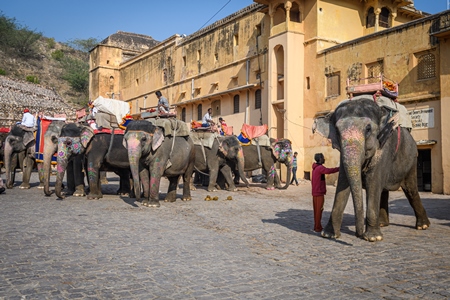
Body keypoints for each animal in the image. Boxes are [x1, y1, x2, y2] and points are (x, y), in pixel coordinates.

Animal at [312, 96, 428, 241]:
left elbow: (373, 182)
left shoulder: (384, 147)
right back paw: (383, 224)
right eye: (337, 131)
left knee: (411, 190)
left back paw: (423, 226)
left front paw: (373, 238)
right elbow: (343, 184)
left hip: (412, 160)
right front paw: (328, 235)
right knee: (384, 190)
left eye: (368, 129)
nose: (358, 234)